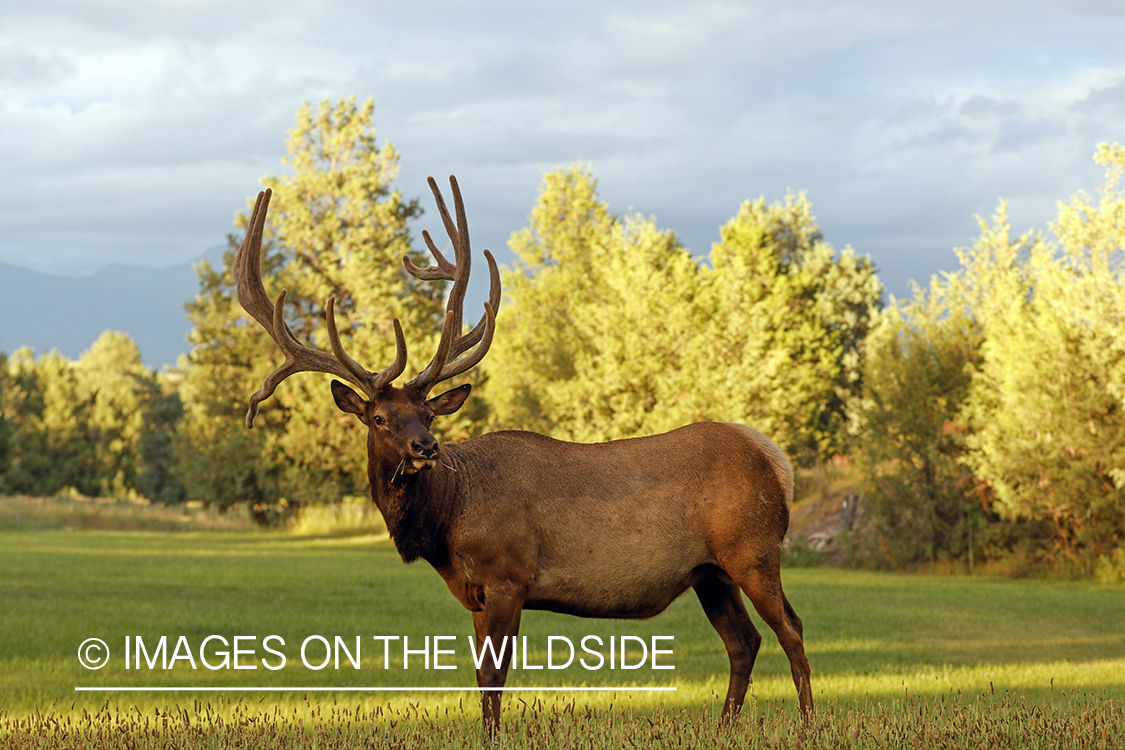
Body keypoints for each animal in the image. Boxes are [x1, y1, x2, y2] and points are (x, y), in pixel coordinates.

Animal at [232, 176, 812, 734]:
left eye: (428, 414)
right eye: (378, 419)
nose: (426, 447)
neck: (447, 520)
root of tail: (776, 460)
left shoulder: (508, 574)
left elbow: (494, 675)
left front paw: (493, 736)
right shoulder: (475, 591)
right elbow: (479, 674)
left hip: (754, 549)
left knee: (791, 628)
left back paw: (807, 723)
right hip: (709, 572)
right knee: (744, 641)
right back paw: (726, 726)